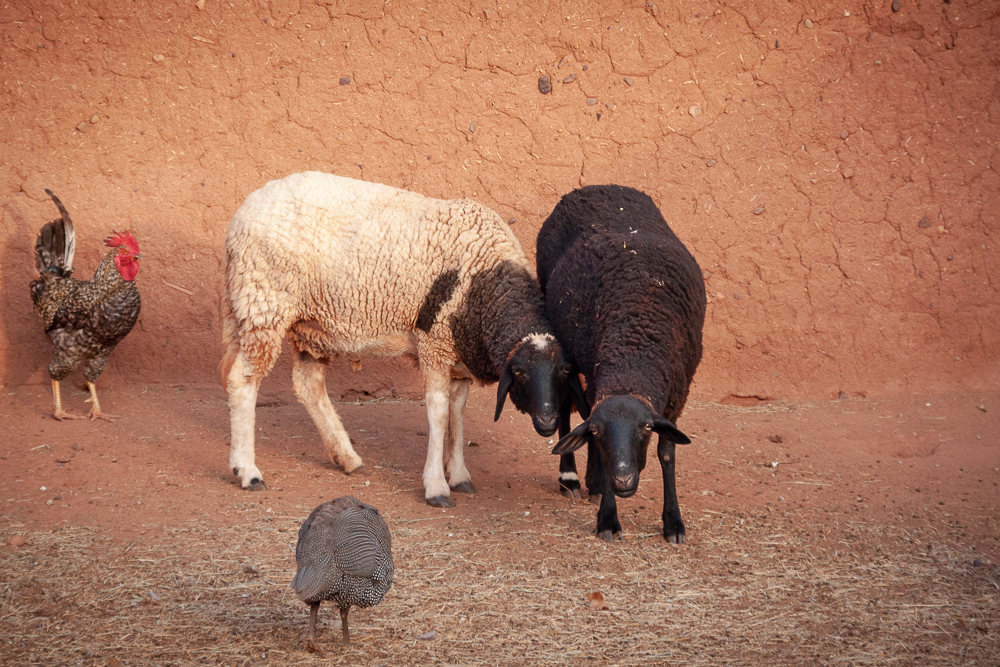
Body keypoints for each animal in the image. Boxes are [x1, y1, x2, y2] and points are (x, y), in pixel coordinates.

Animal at [218, 171, 580, 506]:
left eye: (564, 372)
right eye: (520, 373)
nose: (548, 422)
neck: (487, 282)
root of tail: (242, 214)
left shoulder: (458, 353)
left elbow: (458, 411)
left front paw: (459, 475)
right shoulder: (434, 343)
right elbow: (438, 412)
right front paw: (436, 486)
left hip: (306, 324)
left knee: (308, 385)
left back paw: (347, 458)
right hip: (263, 304)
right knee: (242, 381)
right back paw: (248, 471)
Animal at [540, 185, 704, 544]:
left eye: (646, 428)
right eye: (600, 433)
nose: (623, 481)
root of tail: (598, 187)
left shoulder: (676, 396)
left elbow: (667, 454)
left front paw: (673, 523)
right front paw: (607, 518)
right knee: (566, 406)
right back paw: (575, 478)